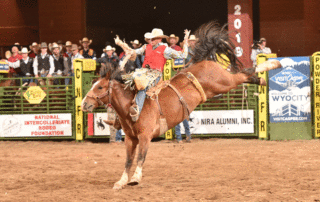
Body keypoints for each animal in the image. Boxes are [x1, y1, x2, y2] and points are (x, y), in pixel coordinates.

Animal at [80, 21, 280, 189]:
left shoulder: (145, 137)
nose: (84, 104)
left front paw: (135, 179)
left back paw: (271, 65)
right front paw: (121, 181)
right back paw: (263, 78)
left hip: (224, 82)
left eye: (100, 87)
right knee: (245, 75)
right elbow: (128, 161)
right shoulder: (130, 139)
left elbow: (141, 158)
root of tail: (204, 62)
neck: (130, 106)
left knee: (244, 73)